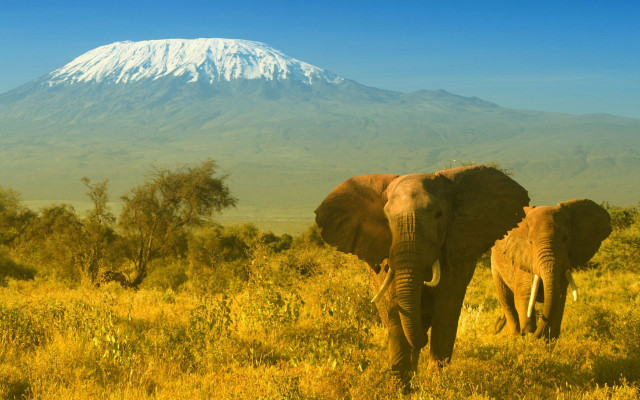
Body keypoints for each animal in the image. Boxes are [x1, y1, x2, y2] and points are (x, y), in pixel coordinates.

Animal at [315, 165, 529, 385]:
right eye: (386, 219)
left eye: (439, 214)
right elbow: (396, 312)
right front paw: (401, 386)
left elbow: (445, 313)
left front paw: (437, 384)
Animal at [491, 199, 611, 340]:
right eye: (530, 242)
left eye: (565, 239)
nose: (531, 335)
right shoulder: (524, 259)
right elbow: (525, 295)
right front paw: (528, 337)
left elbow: (559, 298)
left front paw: (548, 339)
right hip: (495, 266)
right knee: (506, 301)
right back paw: (515, 335)